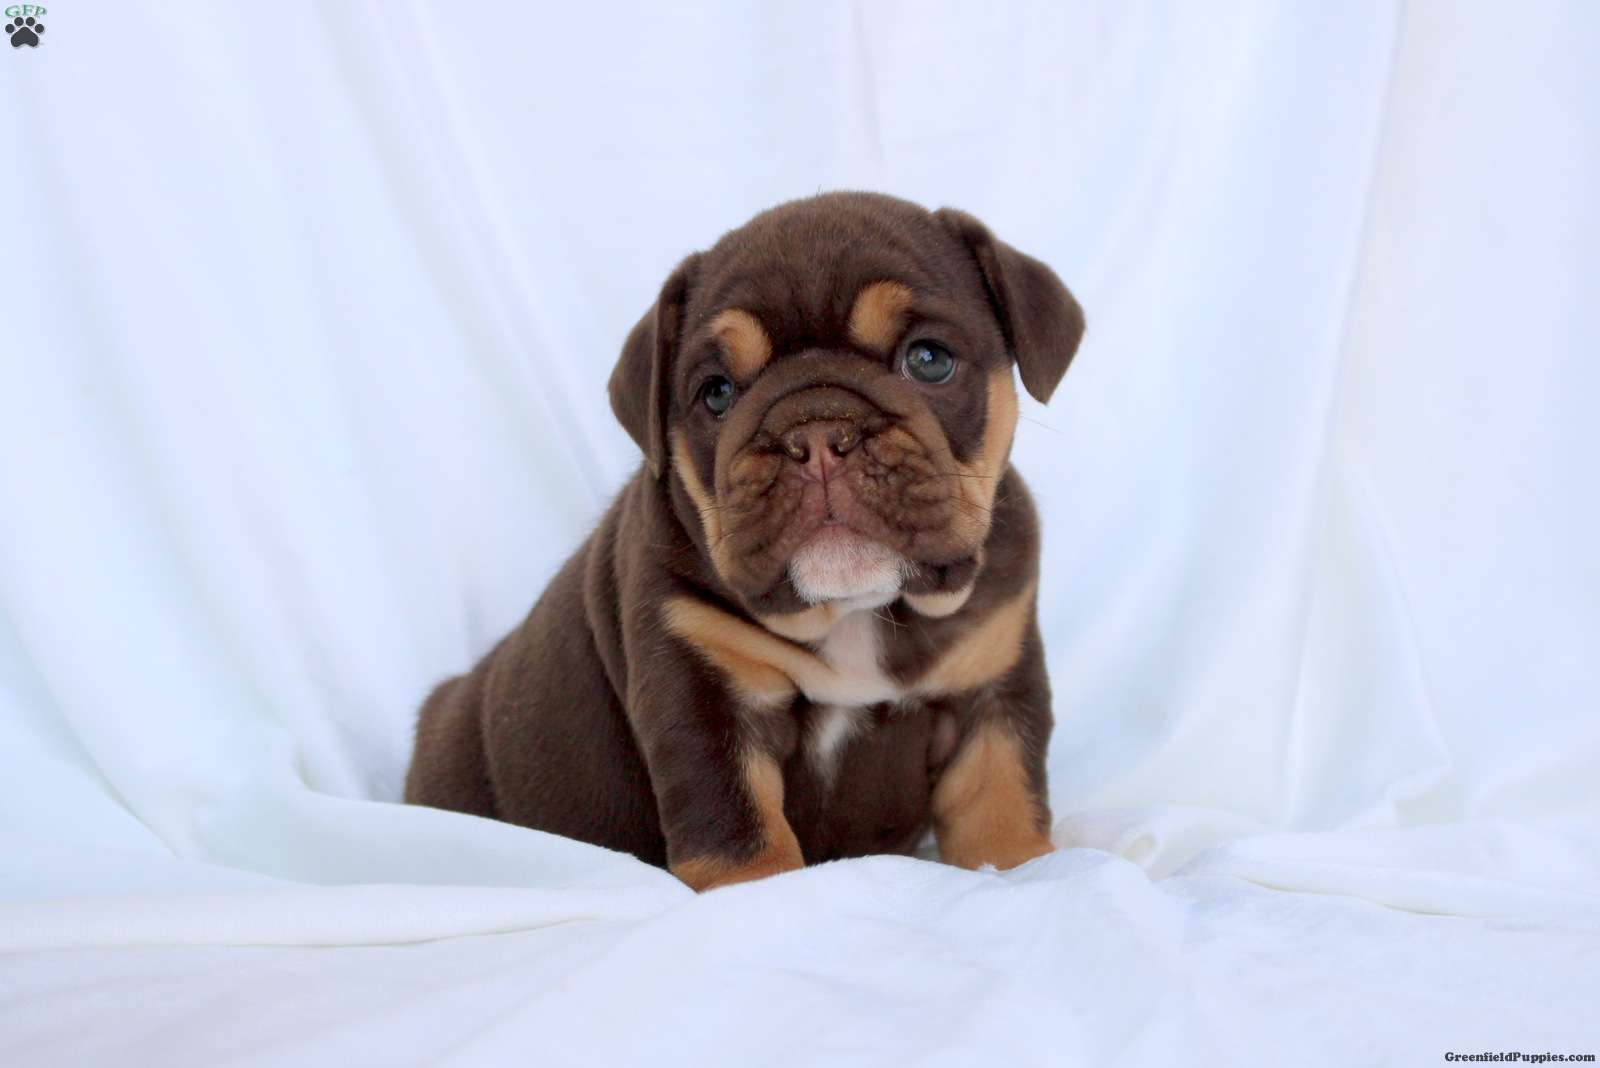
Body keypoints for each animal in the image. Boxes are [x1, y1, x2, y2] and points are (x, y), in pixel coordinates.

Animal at [405, 192, 1084, 891]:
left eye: (929, 360)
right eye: (717, 394)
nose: (817, 431)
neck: (854, 612)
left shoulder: (992, 687)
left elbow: (998, 795)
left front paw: (1022, 870)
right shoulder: (703, 695)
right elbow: (740, 830)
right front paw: (759, 894)